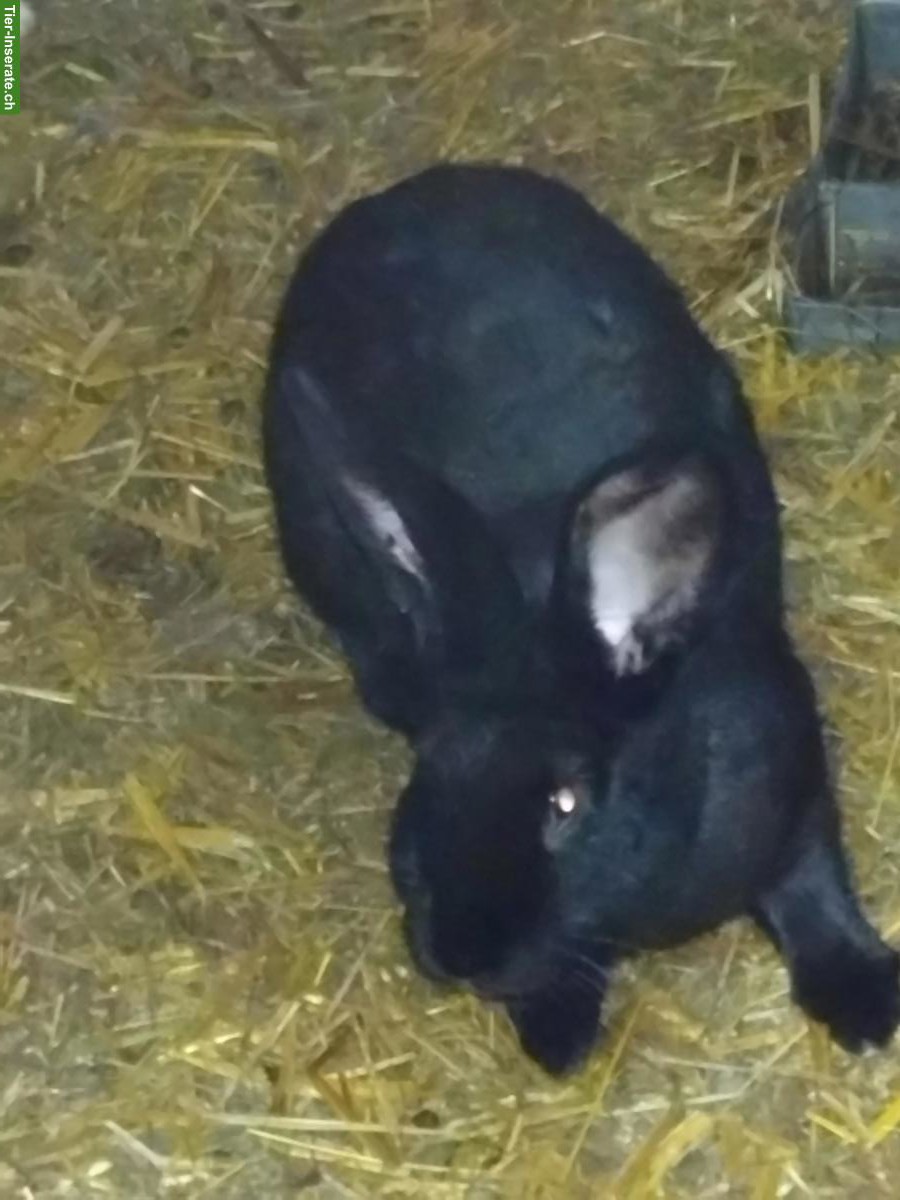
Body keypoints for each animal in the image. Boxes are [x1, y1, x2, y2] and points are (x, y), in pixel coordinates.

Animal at [262, 163, 899, 1075]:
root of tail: (403, 193)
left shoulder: (795, 779)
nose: (460, 954)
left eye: (565, 802)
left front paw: (867, 1003)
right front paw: (558, 1034)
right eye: (428, 774)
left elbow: (813, 882)